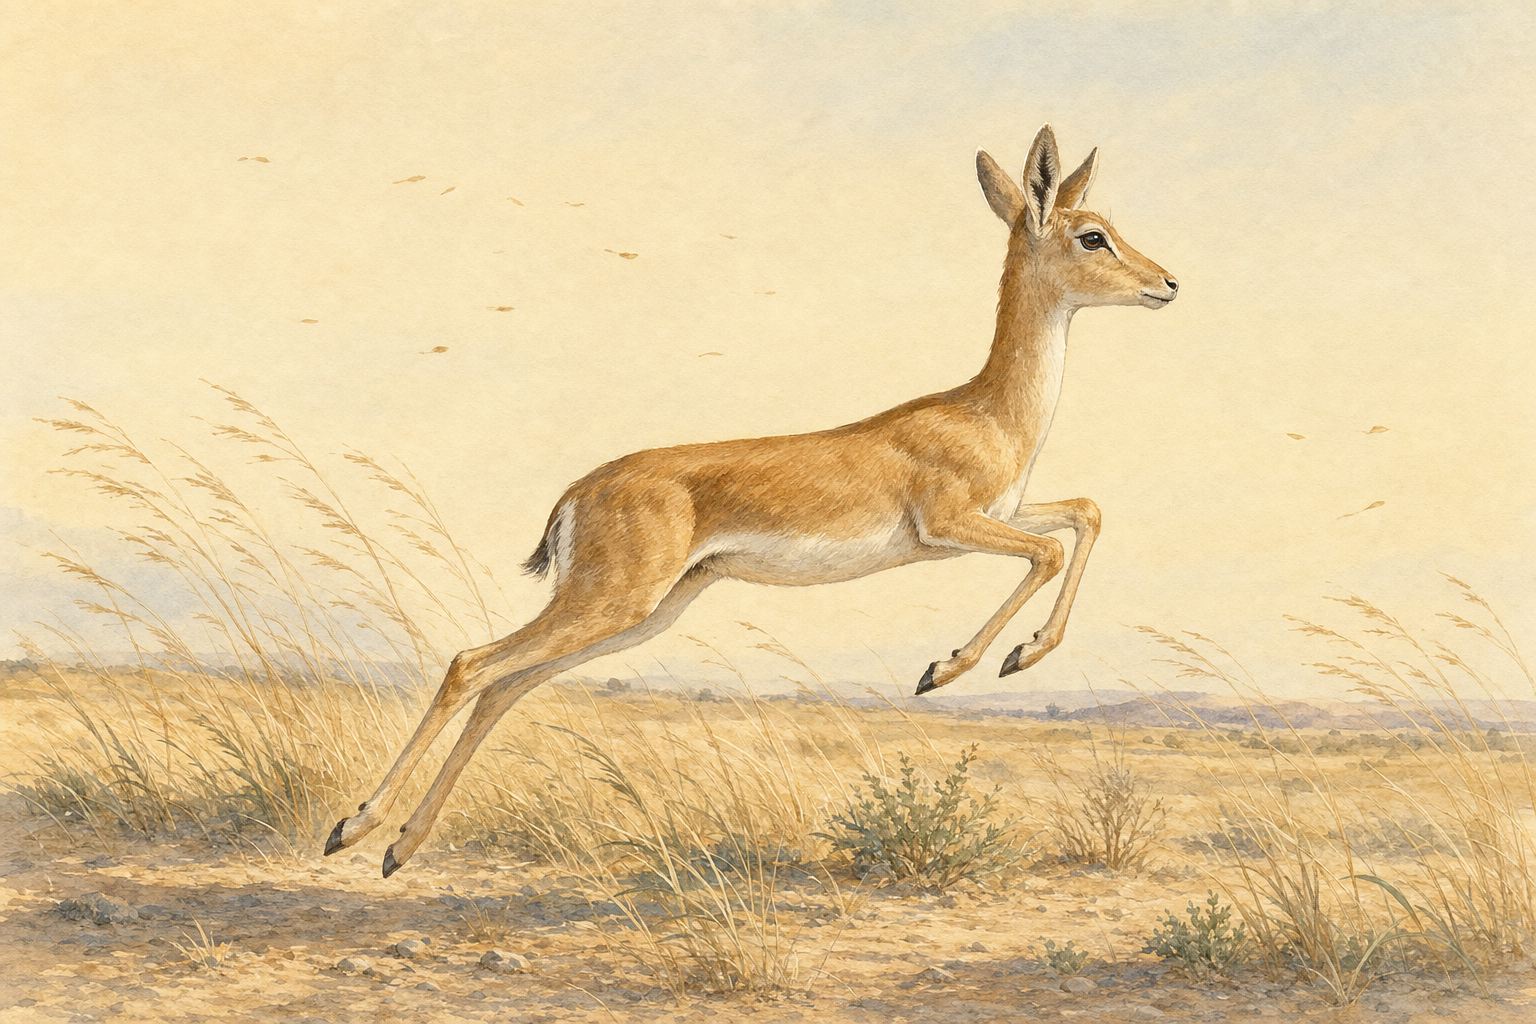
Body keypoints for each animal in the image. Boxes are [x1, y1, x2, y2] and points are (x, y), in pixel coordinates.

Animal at [326, 125, 1178, 877]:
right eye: (1093, 235)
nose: (1168, 282)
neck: (988, 412)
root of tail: (576, 493)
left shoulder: (997, 517)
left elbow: (1086, 513)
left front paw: (998, 656)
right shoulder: (950, 526)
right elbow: (1052, 548)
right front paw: (957, 666)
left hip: (644, 612)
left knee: (508, 684)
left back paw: (400, 850)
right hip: (611, 602)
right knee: (472, 663)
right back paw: (351, 829)